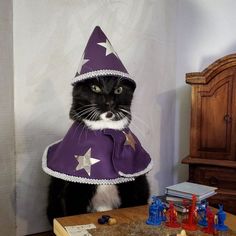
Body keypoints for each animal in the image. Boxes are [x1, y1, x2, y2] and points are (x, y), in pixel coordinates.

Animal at [46, 75, 149, 223]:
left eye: (119, 90)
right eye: (95, 88)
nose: (109, 102)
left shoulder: (134, 188)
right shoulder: (72, 191)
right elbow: (73, 211)